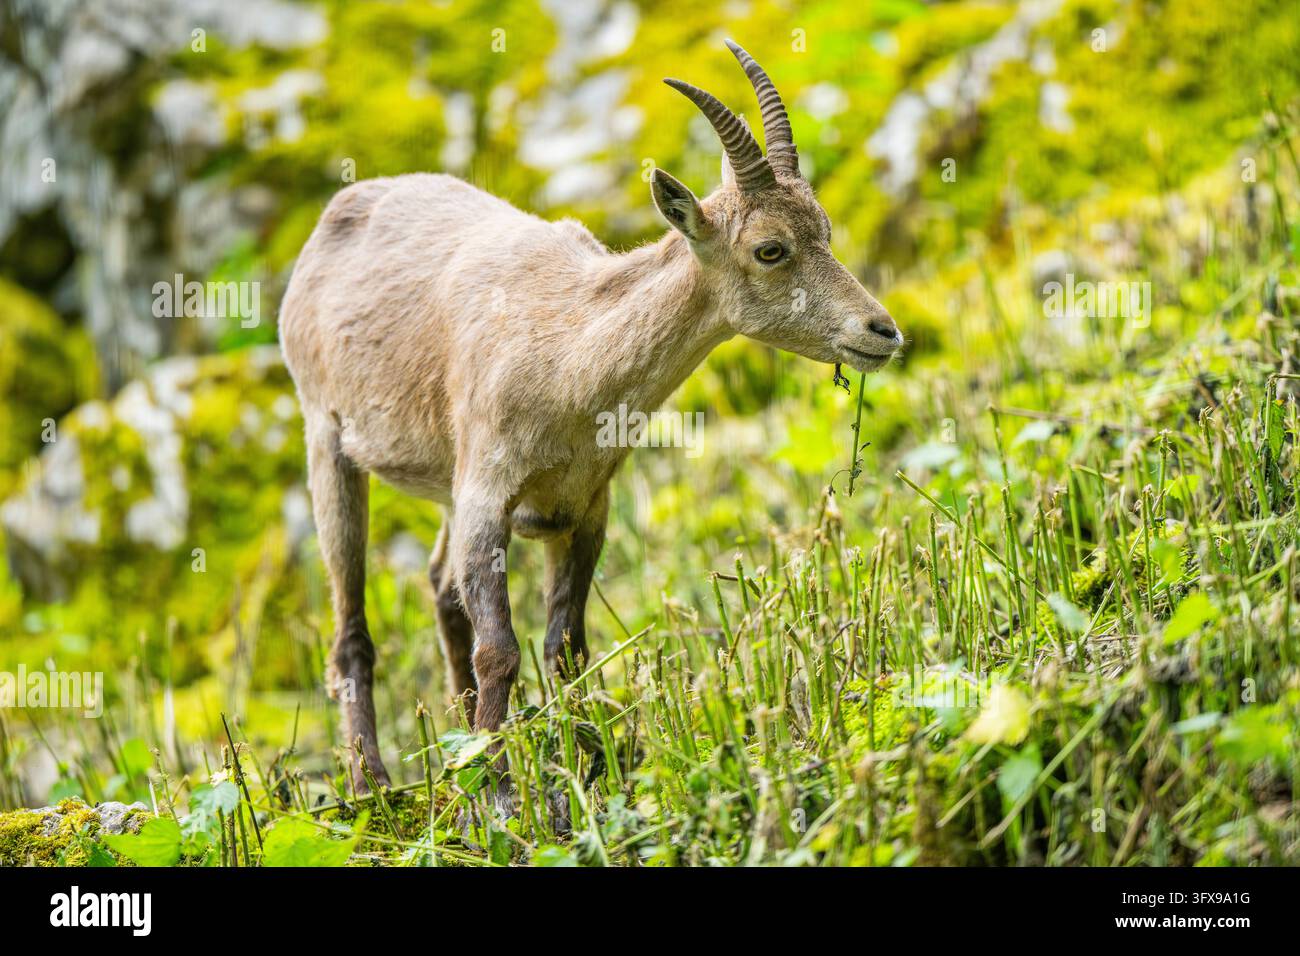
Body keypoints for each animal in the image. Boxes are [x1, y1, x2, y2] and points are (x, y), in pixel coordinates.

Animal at [279, 41, 903, 801]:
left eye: (827, 231)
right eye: (770, 248)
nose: (882, 331)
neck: (566, 358)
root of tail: (336, 217)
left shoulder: (580, 506)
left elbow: (565, 647)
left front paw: (590, 765)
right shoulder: (489, 493)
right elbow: (501, 650)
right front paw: (493, 794)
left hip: (443, 480)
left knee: (442, 590)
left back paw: (452, 745)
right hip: (327, 439)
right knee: (352, 636)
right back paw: (372, 783)